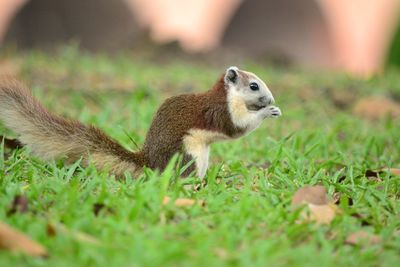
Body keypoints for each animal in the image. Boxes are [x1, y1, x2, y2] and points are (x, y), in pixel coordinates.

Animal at [0, 67, 282, 179]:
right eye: (254, 85)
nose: (270, 98)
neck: (227, 95)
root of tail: (150, 163)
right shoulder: (219, 111)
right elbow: (237, 128)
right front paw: (268, 111)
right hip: (187, 154)